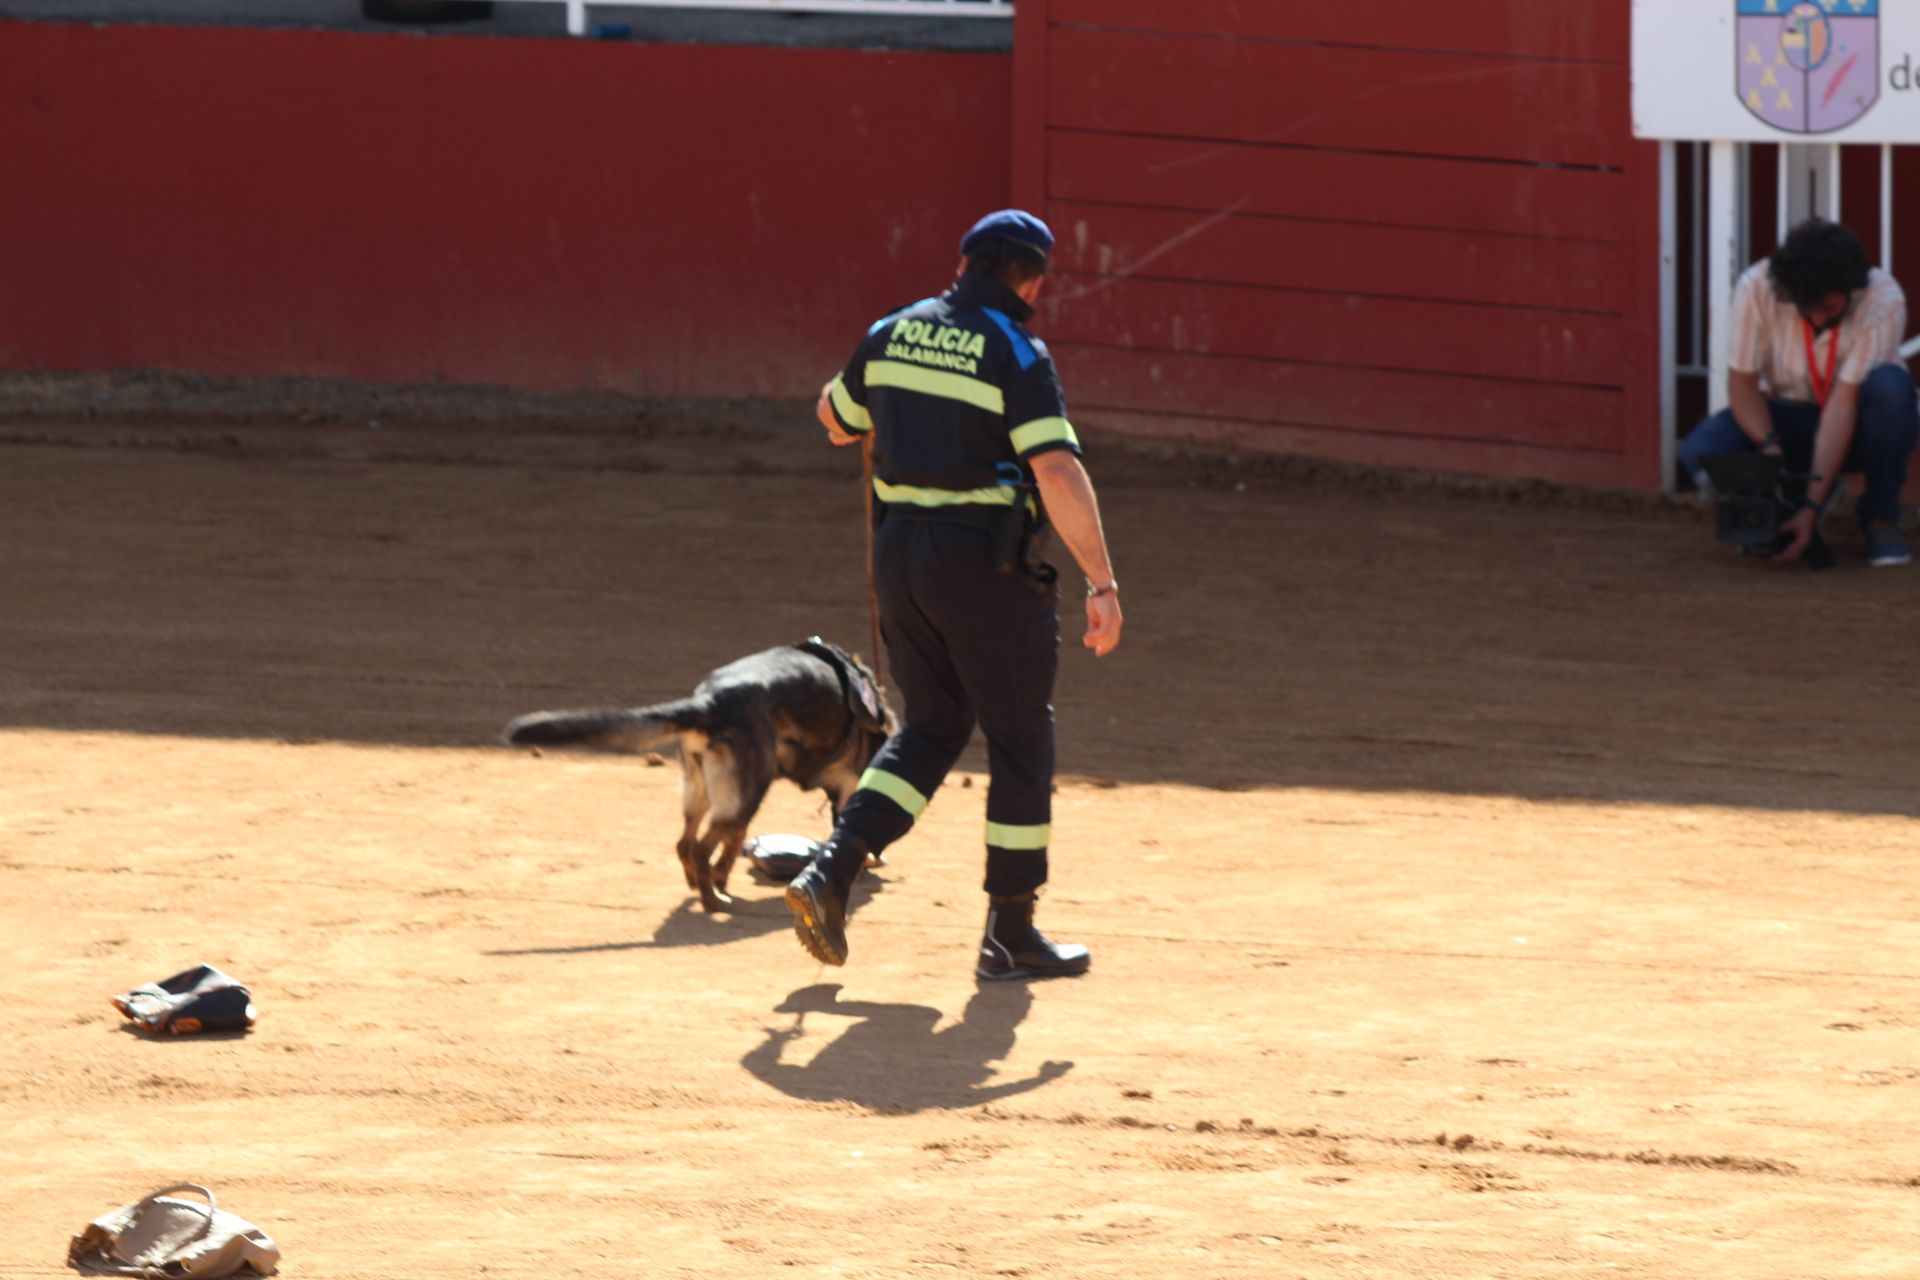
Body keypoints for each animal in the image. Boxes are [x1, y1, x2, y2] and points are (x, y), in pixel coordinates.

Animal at [503, 640, 890, 909]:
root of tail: (711, 701)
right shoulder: (847, 783)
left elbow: (733, 846)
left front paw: (721, 877)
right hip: (746, 794)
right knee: (703, 847)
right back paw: (712, 901)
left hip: (706, 790)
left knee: (688, 843)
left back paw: (701, 886)